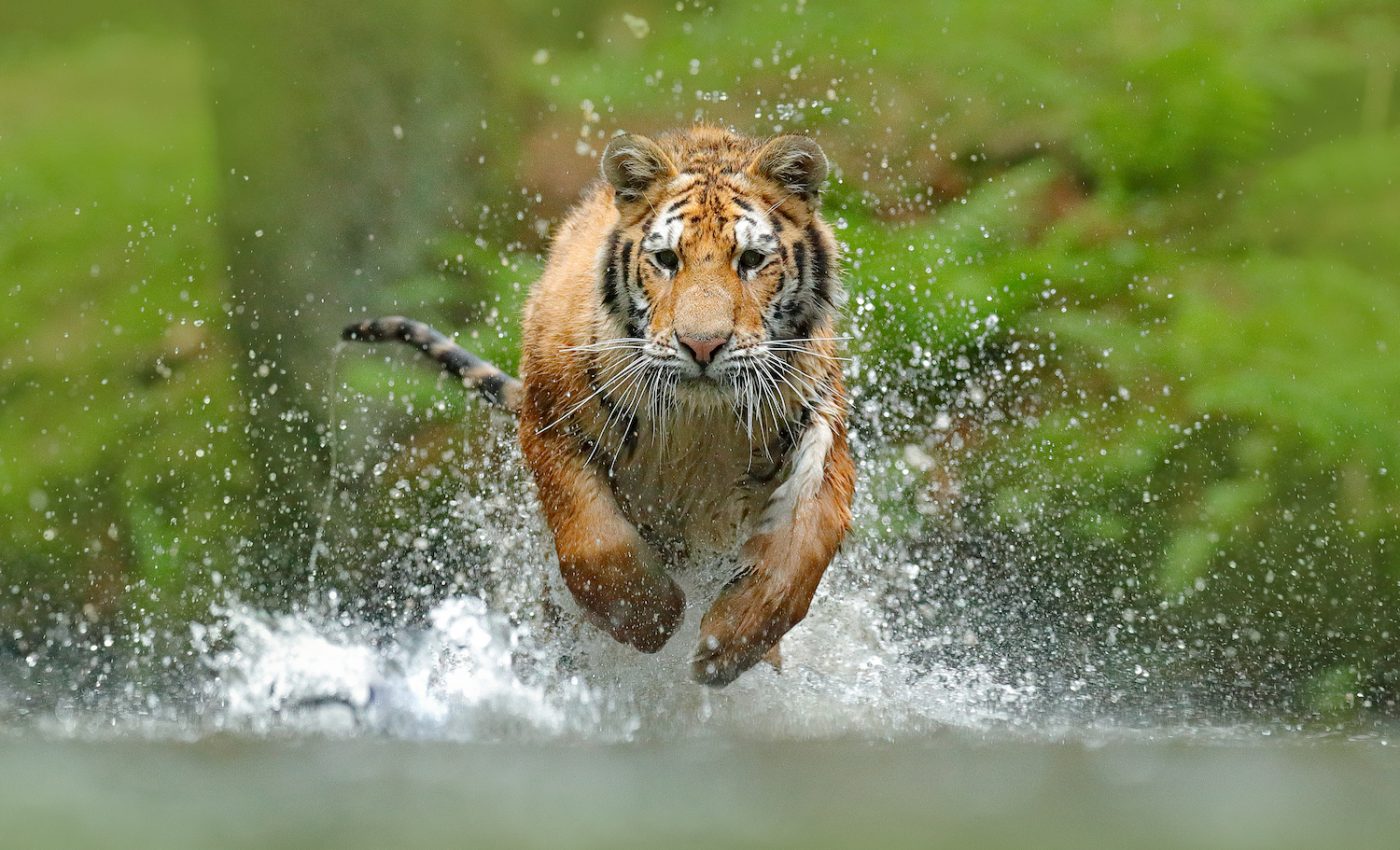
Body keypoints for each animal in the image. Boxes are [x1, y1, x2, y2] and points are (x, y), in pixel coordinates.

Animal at [345, 126, 854, 686]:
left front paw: (731, 641)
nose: (702, 346)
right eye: (667, 260)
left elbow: (807, 542)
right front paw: (651, 619)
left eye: (751, 261)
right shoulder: (549, 423)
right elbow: (594, 540)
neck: (699, 421)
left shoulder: (823, 427)